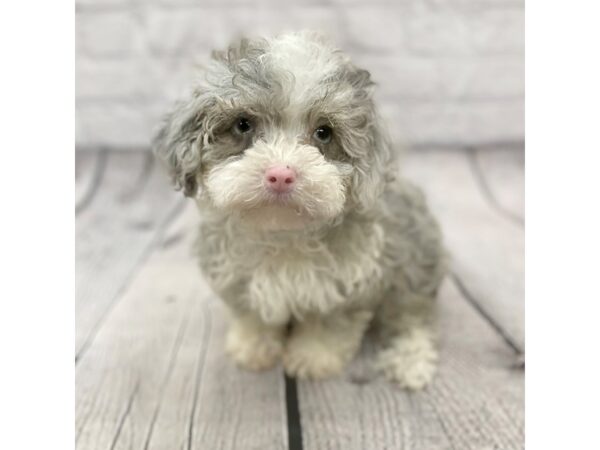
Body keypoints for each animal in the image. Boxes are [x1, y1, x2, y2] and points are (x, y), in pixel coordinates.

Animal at [155, 32, 446, 390]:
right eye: (242, 125)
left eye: (324, 133)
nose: (281, 174)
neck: (283, 236)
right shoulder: (239, 281)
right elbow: (254, 317)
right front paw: (252, 348)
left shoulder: (347, 288)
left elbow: (329, 327)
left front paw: (313, 358)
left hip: (415, 266)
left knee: (411, 318)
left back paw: (411, 361)